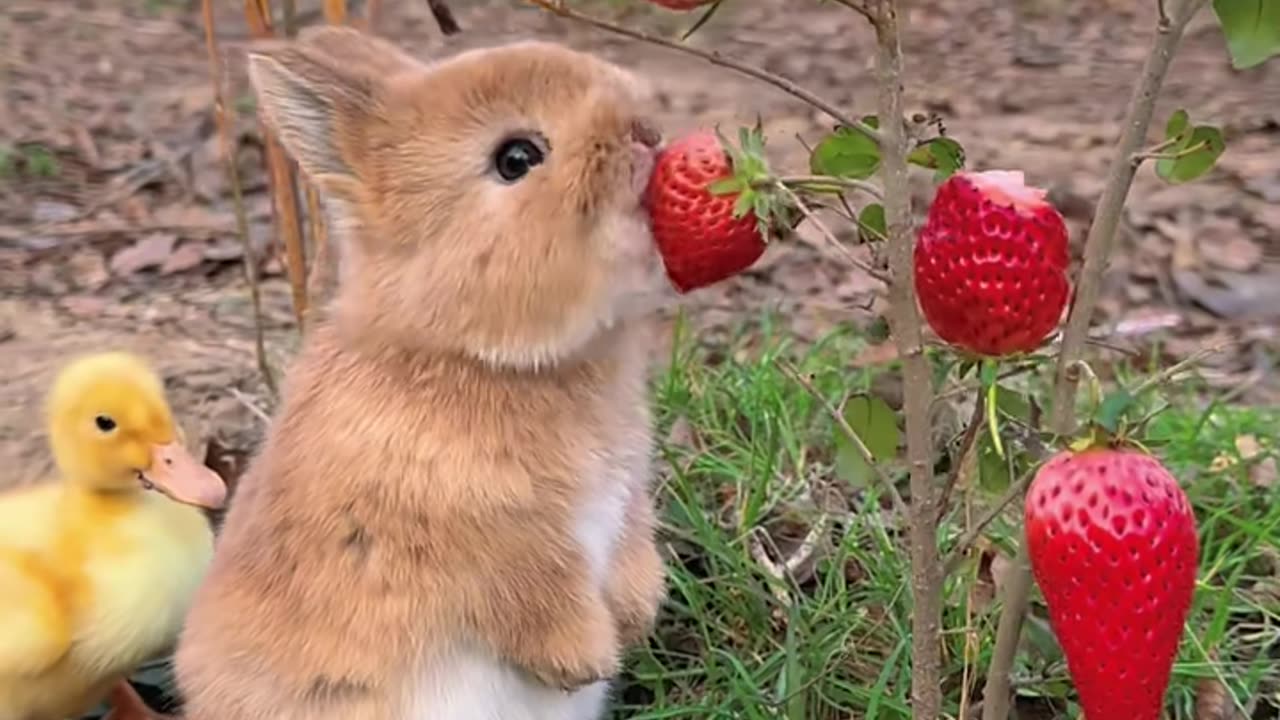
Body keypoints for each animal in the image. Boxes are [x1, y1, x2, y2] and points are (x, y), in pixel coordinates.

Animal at [176, 25, 675, 712]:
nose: (648, 131)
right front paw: (585, 659)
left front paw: (636, 616)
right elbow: (534, 594)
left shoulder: (625, 495)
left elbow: (631, 544)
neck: (465, 353)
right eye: (516, 158)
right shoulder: (486, 545)